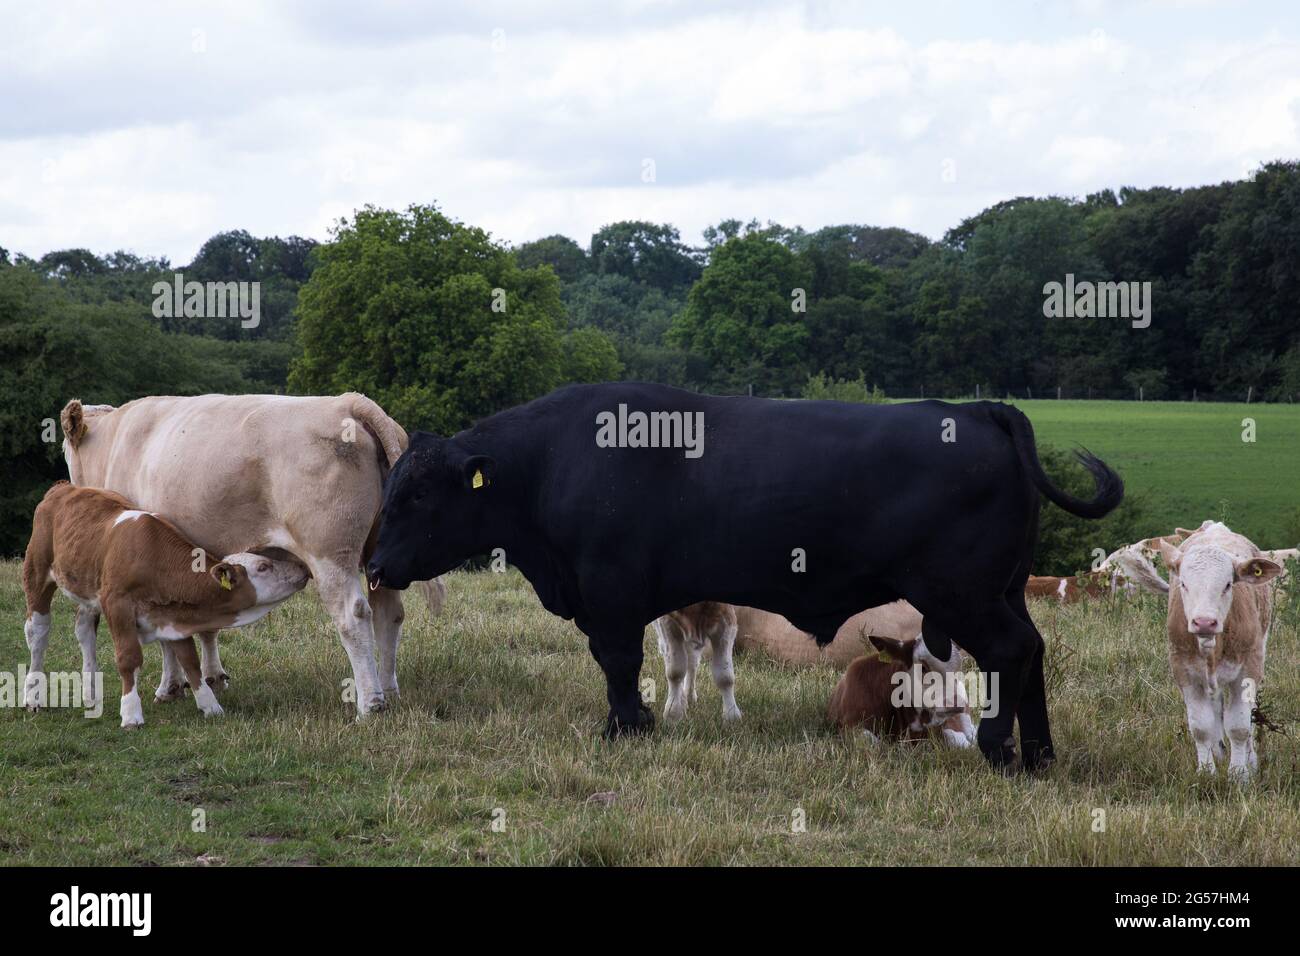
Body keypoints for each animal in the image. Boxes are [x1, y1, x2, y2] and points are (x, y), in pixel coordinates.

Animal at [22, 483, 308, 727]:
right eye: (263, 566)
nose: (302, 568)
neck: (154, 558)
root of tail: (62, 487)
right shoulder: (117, 603)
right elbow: (128, 658)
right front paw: (131, 713)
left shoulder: (173, 613)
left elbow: (190, 660)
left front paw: (210, 705)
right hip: (37, 572)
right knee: (38, 632)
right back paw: (33, 697)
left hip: (87, 587)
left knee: (84, 630)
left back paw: (91, 693)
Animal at [60, 393, 443, 717]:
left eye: (64, 451)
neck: (115, 444)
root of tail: (348, 402)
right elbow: (205, 626)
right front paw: (213, 677)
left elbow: (170, 634)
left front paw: (170, 687)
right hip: (382, 551)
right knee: (390, 614)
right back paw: (389, 688)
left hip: (330, 553)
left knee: (354, 615)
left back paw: (370, 701)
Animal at [366, 382, 1122, 770]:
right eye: (391, 486)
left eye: (417, 495)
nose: (372, 564)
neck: (555, 459)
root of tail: (978, 409)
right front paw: (640, 721)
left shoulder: (611, 596)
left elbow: (617, 663)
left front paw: (625, 728)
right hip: (1001, 590)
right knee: (1034, 652)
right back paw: (1041, 754)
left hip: (962, 592)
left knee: (1010, 651)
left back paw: (1000, 751)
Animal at [1159, 522, 1282, 780]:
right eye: (1183, 584)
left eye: (1227, 585)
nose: (1204, 622)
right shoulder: (1183, 670)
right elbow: (1201, 727)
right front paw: (1207, 772)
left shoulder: (1248, 668)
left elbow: (1239, 726)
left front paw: (1239, 774)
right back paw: (1219, 751)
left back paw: (1249, 759)